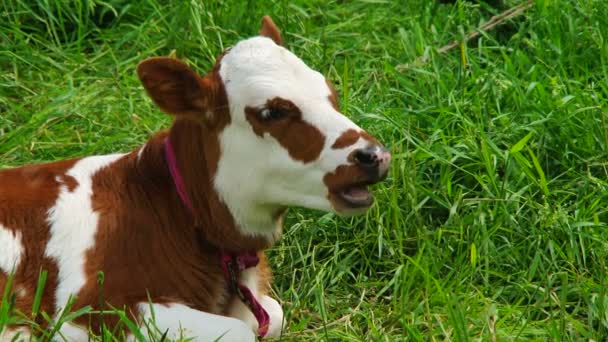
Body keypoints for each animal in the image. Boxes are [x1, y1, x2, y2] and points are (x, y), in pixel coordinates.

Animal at [0, 16, 390, 342]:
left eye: (329, 91)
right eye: (271, 112)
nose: (375, 156)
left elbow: (274, 315)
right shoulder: (89, 311)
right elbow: (239, 332)